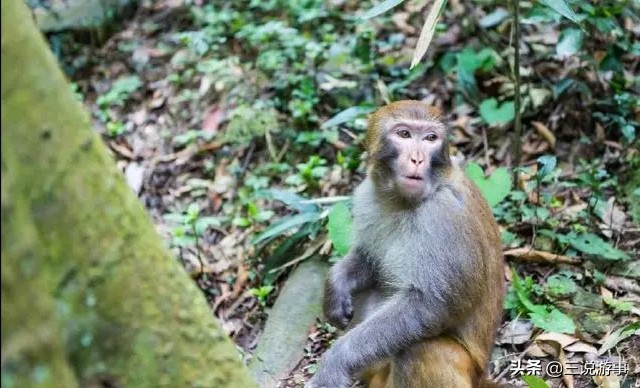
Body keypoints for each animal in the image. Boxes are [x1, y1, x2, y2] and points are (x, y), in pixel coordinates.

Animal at [304, 101, 504, 388]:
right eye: (404, 134)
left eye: (431, 138)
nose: (417, 159)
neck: (403, 202)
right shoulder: (367, 197)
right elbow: (368, 261)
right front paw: (335, 286)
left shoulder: (444, 216)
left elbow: (429, 304)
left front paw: (335, 362)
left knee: (419, 349)